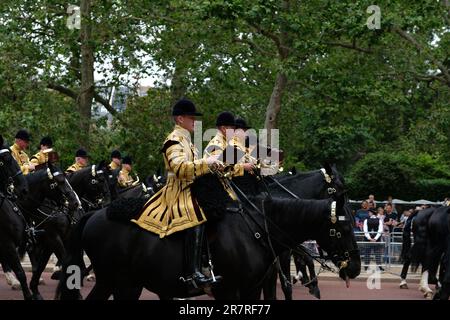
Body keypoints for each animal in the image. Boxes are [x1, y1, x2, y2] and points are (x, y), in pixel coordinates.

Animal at [55, 172, 358, 300]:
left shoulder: (257, 283)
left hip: (121, 282)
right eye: (342, 229)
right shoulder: (232, 290)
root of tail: (96, 213)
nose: (355, 267)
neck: (259, 228)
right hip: (123, 283)